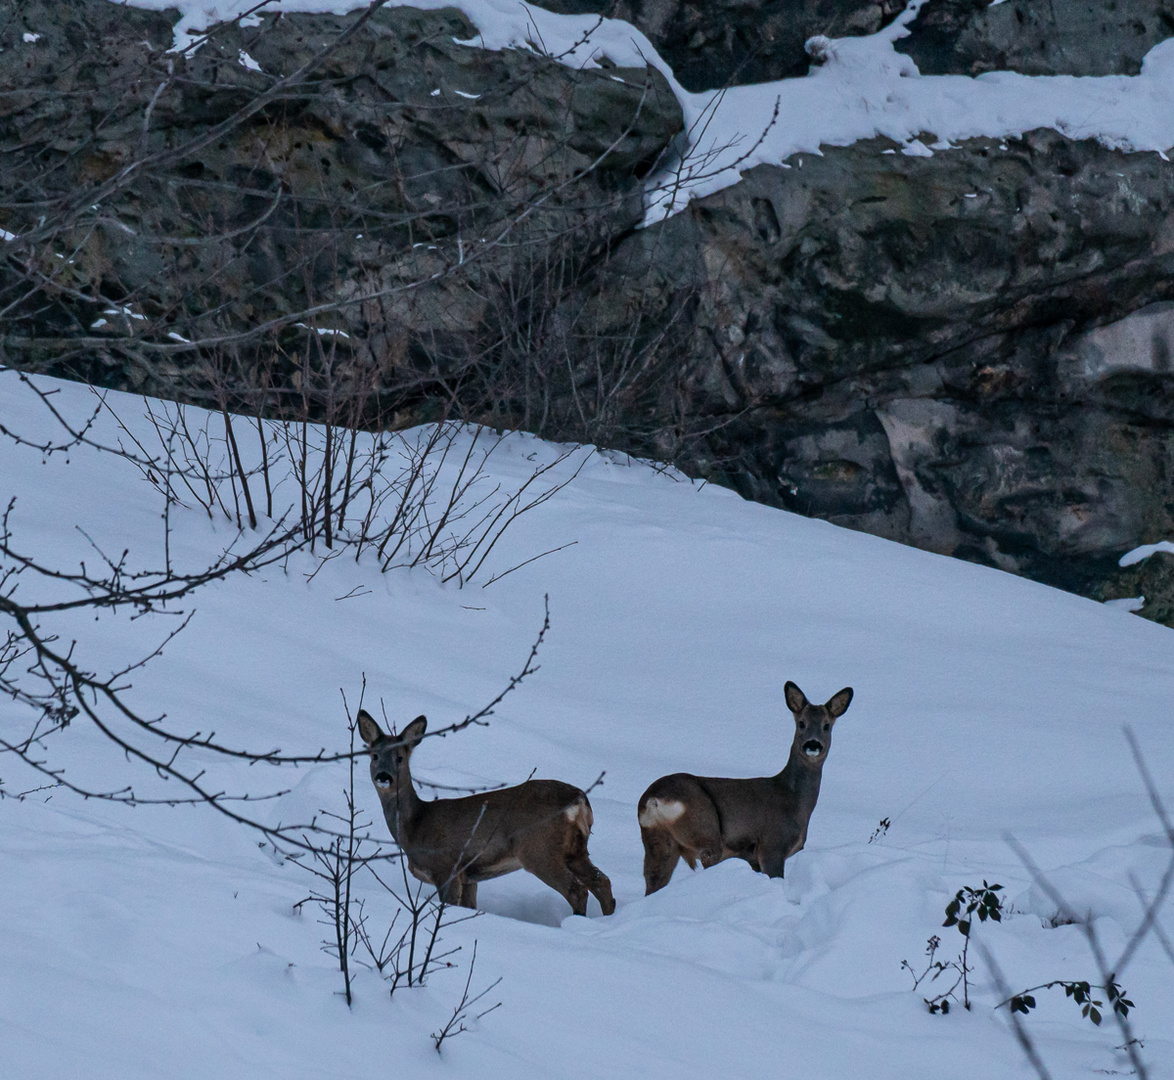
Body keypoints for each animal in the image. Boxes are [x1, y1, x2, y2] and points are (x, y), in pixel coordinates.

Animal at [354, 713, 615, 915]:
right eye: (374, 756)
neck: (415, 826)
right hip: (575, 850)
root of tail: (579, 800)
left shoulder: (446, 867)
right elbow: (470, 906)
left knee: (577, 889)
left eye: (400, 758)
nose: (384, 777)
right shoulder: (469, 878)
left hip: (538, 849)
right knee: (602, 882)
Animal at [633, 685, 854, 892]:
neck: (794, 799)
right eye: (801, 723)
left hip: (658, 841)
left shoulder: (753, 858)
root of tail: (654, 799)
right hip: (705, 831)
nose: (812, 745)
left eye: (826, 726)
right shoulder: (772, 845)